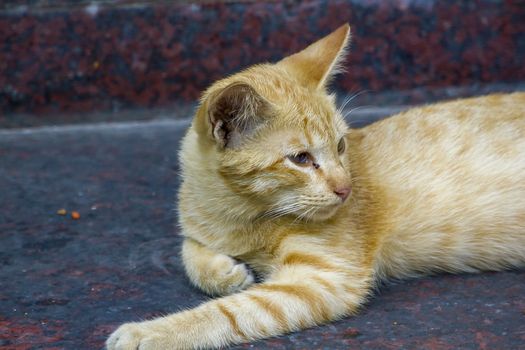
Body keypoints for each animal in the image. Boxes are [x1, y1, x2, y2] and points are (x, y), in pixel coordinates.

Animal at [106, 23, 524, 348]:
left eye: (340, 146)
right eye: (301, 159)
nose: (345, 189)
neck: (241, 216)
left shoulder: (322, 279)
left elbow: (230, 313)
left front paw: (152, 333)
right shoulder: (201, 228)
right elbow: (189, 248)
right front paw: (224, 271)